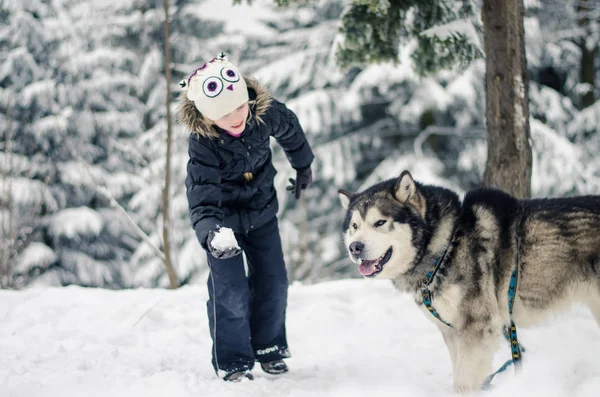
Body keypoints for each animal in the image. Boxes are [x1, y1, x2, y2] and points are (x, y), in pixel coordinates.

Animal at [338, 170, 600, 390]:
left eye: (380, 222)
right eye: (354, 226)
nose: (355, 247)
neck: (446, 246)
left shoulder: (476, 327)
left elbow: (463, 382)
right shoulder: (453, 331)